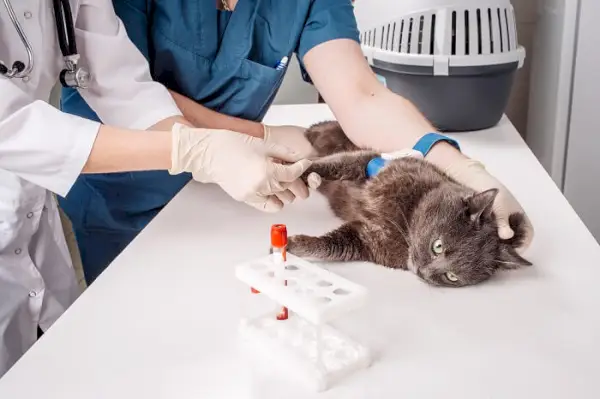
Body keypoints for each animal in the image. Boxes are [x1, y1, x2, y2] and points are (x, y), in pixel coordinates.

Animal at [288, 120, 532, 290]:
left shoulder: (367, 240)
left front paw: (292, 243)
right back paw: (309, 134)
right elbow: (333, 165)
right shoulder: (372, 163)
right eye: (438, 246)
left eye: (452, 276)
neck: (406, 220)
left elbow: (331, 245)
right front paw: (294, 172)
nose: (423, 271)